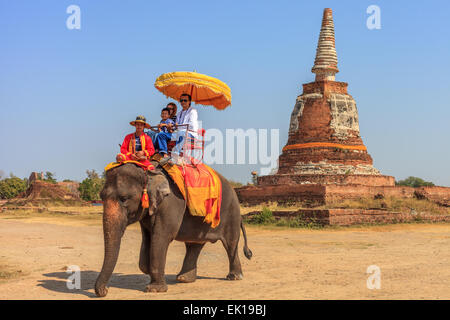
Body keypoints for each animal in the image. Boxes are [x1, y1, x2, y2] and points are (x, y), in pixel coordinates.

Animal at [94, 162, 253, 298]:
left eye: (124, 198)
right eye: (101, 196)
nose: (105, 290)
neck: (148, 171)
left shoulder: (170, 203)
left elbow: (161, 237)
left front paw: (154, 290)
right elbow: (147, 238)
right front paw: (149, 272)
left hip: (232, 213)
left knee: (230, 244)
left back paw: (234, 277)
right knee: (194, 245)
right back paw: (183, 279)